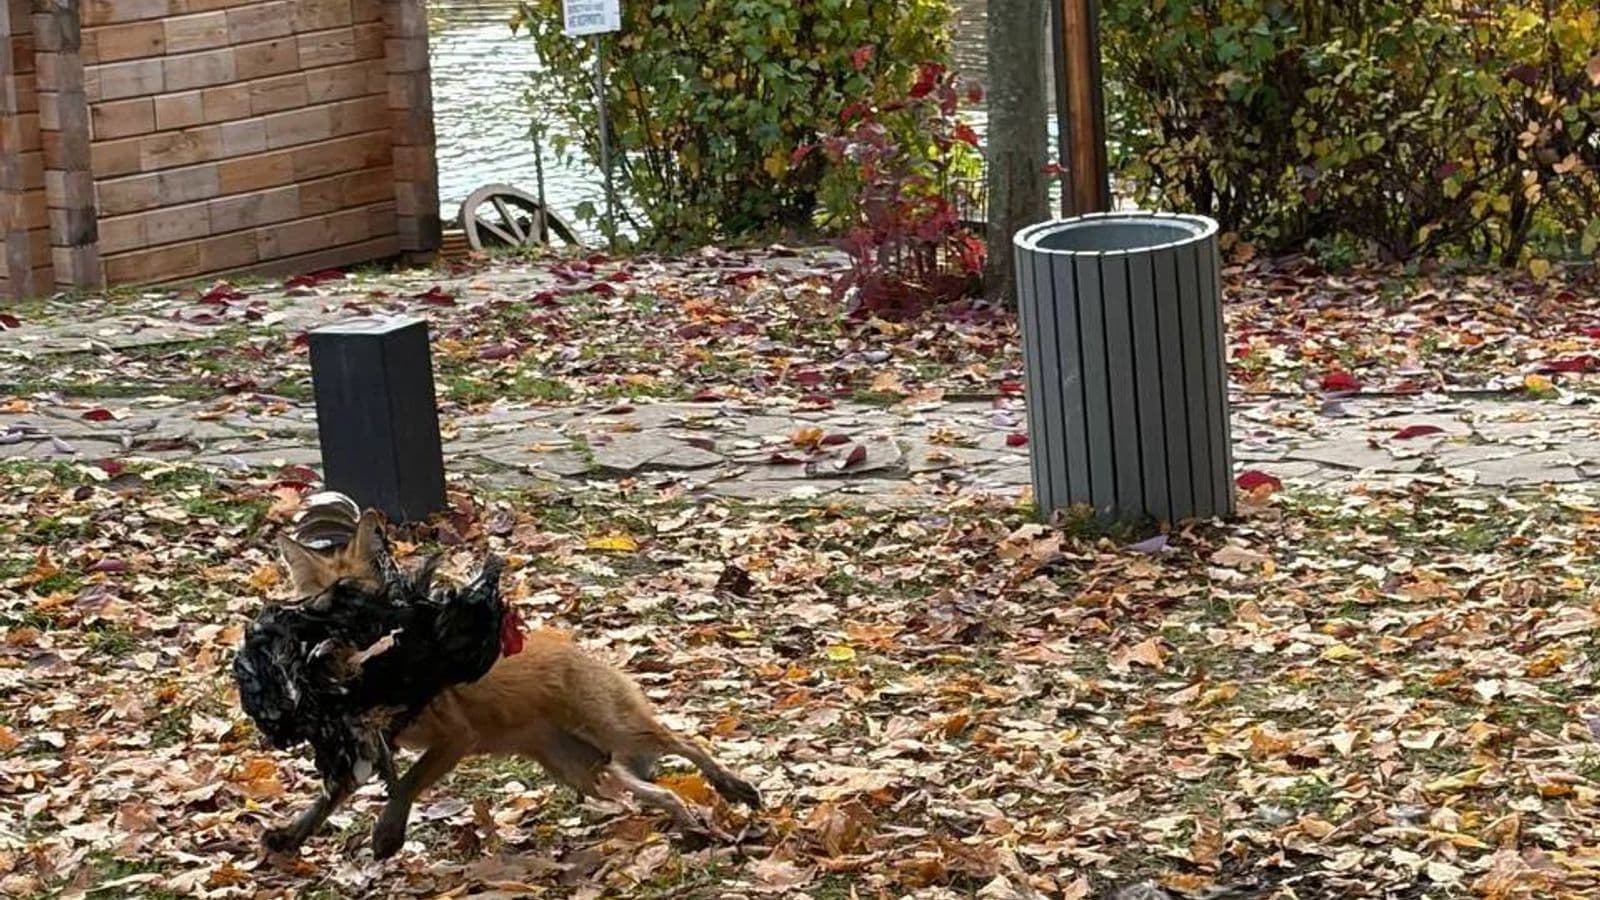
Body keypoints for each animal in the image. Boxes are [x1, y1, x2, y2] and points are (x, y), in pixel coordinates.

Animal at [265, 511, 762, 859]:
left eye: (359, 607)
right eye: (316, 610)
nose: (326, 653)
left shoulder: (455, 738)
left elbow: (406, 783)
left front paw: (388, 833)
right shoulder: (363, 741)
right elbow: (328, 798)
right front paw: (291, 836)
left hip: (616, 732)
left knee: (687, 742)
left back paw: (732, 787)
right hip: (586, 771)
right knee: (660, 793)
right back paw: (691, 823)